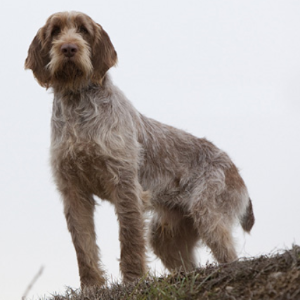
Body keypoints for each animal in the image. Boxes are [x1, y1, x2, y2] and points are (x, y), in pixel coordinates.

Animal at [25, 11, 254, 288]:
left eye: (83, 30)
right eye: (55, 31)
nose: (69, 48)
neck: (77, 103)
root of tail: (235, 170)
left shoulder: (124, 184)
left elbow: (130, 238)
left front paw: (133, 279)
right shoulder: (73, 190)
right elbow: (84, 246)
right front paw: (91, 286)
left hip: (208, 214)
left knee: (229, 256)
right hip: (165, 236)